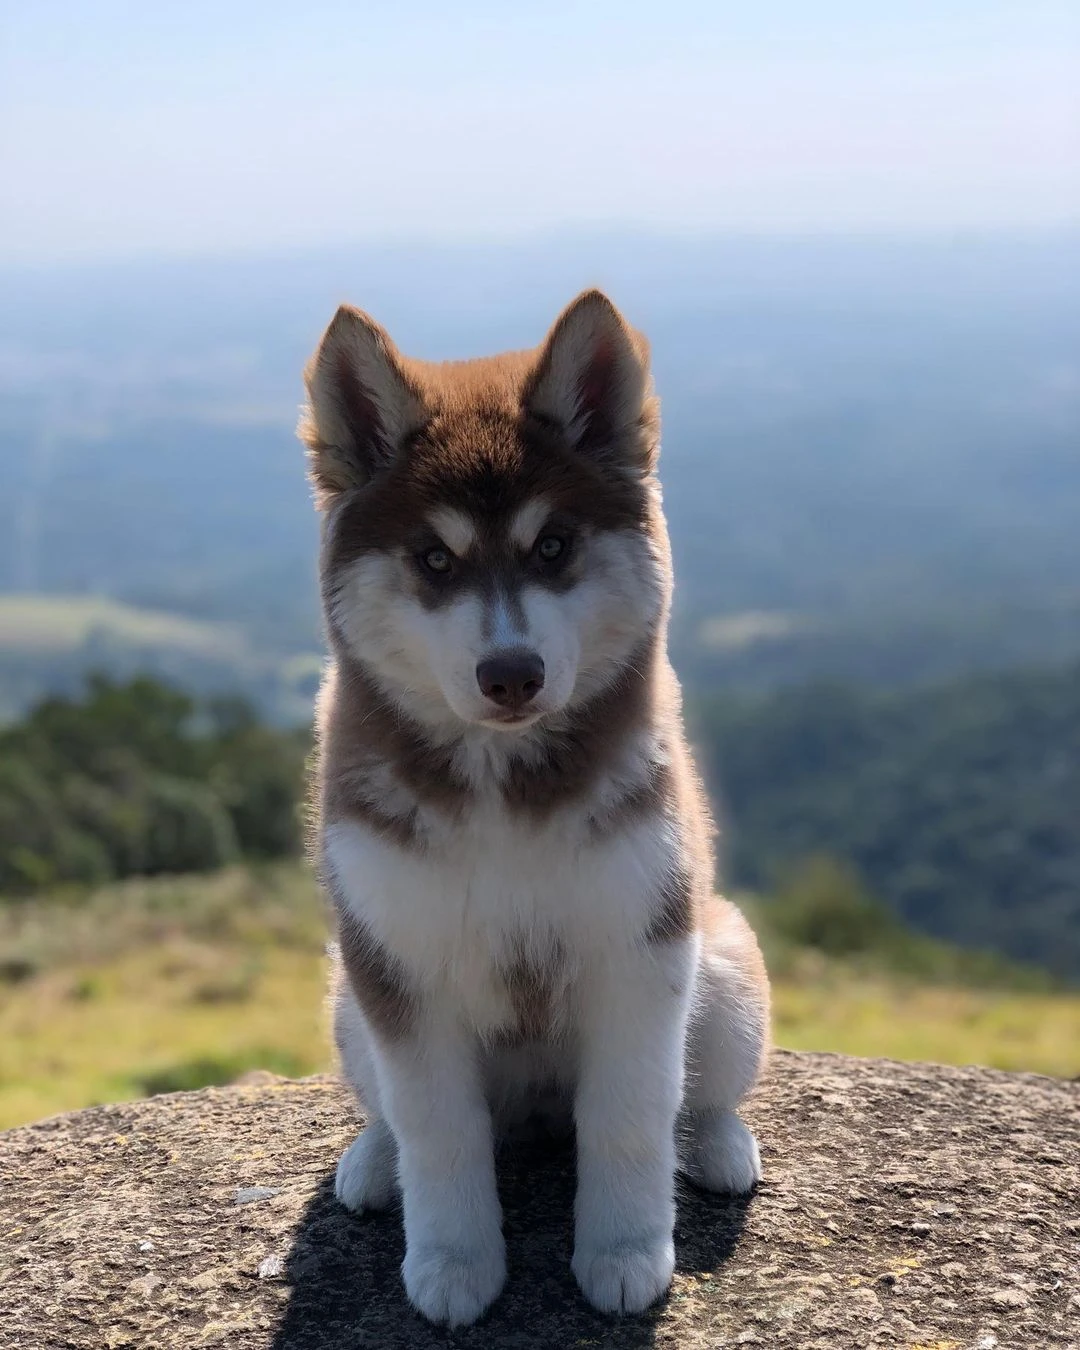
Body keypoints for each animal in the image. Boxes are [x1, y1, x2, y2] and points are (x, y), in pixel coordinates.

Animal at [299, 290, 766, 1323]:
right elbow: (438, 1132)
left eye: (552, 547)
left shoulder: (639, 945)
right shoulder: (401, 962)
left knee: (702, 1094)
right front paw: (453, 1262)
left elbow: (632, 1120)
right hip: (348, 992)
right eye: (434, 559)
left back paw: (718, 1146)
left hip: (723, 964)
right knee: (393, 1114)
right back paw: (374, 1162)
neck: (502, 786)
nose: (510, 673)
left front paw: (625, 1252)